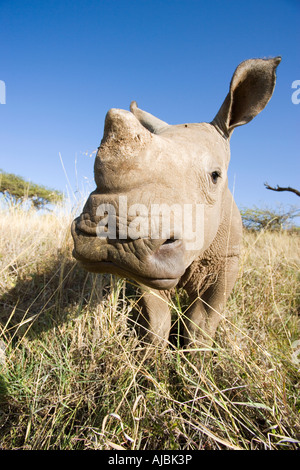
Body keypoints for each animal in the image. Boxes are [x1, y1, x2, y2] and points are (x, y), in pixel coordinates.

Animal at [72, 56, 282, 348]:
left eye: (215, 176)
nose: (111, 237)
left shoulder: (227, 258)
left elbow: (202, 322)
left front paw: (195, 355)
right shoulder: (144, 268)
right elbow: (156, 319)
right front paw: (152, 354)